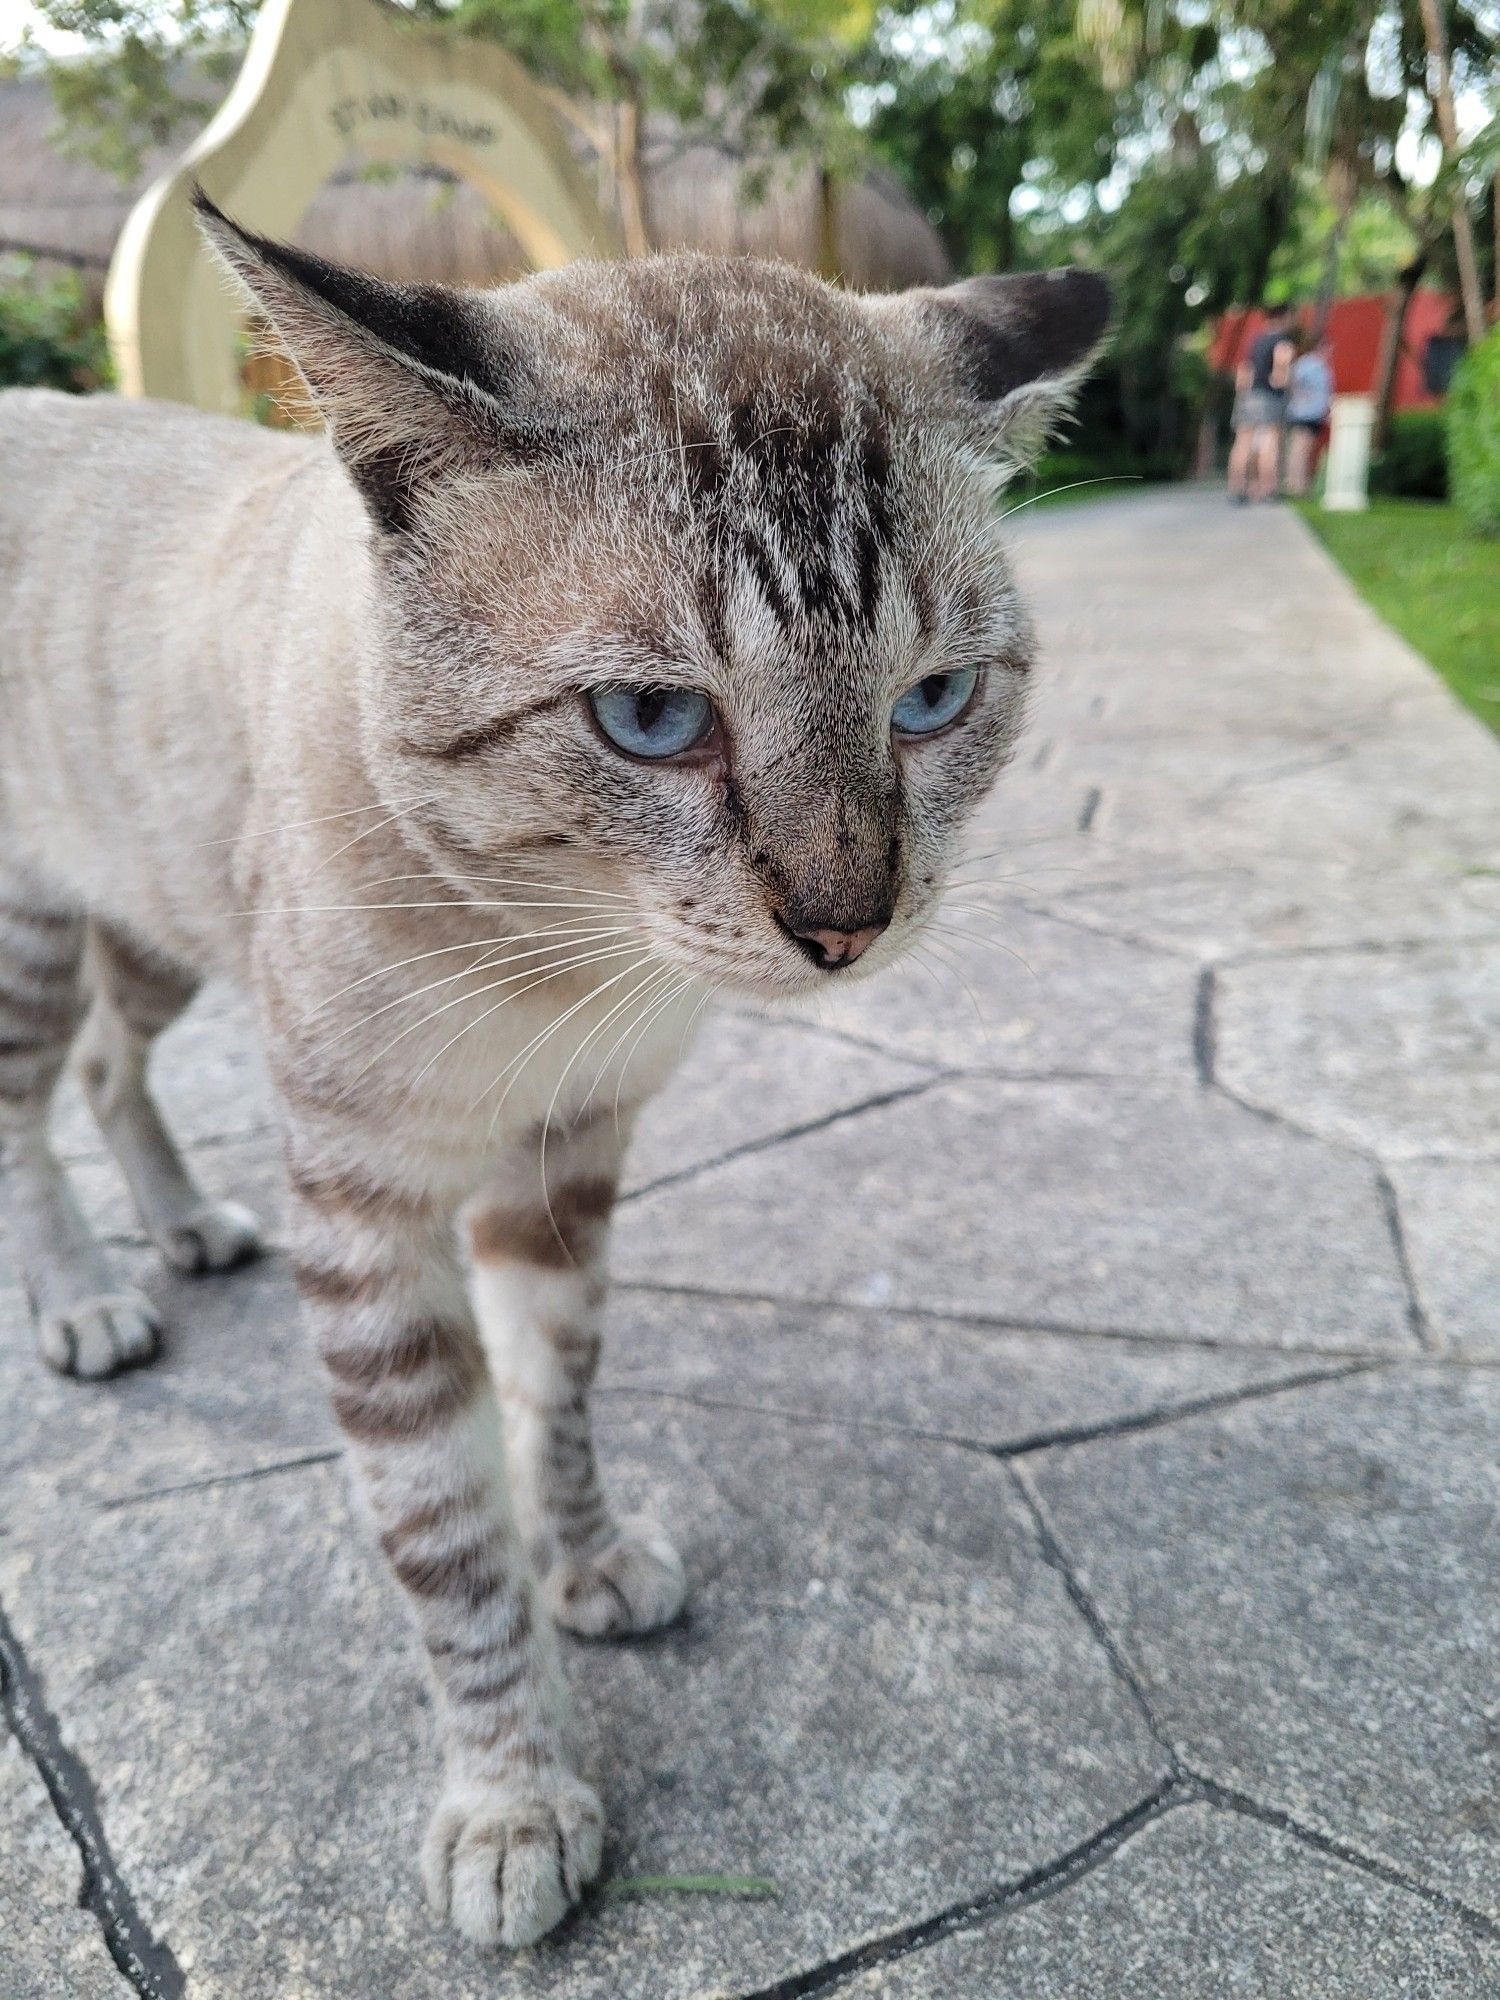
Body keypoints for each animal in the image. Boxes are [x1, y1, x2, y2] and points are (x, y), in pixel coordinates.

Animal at [0, 203, 1104, 1952]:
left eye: (933, 702)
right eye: (650, 720)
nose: (846, 928)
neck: (555, 964)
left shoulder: (568, 1163)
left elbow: (560, 1398)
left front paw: (584, 1571)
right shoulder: (367, 1216)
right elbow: (447, 1546)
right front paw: (513, 1806)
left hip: (165, 927)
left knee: (114, 1069)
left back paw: (180, 1228)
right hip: (41, 926)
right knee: (26, 1117)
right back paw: (84, 1302)